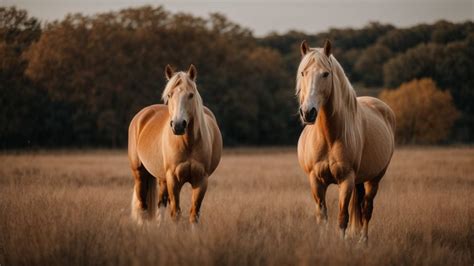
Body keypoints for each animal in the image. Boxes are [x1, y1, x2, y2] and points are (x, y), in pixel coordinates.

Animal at [127, 64, 221, 224]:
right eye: (170, 95)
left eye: (191, 95)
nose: (178, 125)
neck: (188, 143)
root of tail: (141, 116)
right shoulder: (173, 179)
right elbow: (176, 213)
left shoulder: (201, 180)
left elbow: (193, 214)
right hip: (140, 173)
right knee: (143, 207)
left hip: (162, 178)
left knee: (160, 205)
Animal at [296, 40, 396, 242]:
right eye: (303, 73)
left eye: (325, 74)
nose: (308, 112)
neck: (329, 136)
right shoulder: (316, 181)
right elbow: (322, 217)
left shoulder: (346, 180)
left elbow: (343, 217)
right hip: (360, 179)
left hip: (374, 179)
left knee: (367, 209)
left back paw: (362, 241)